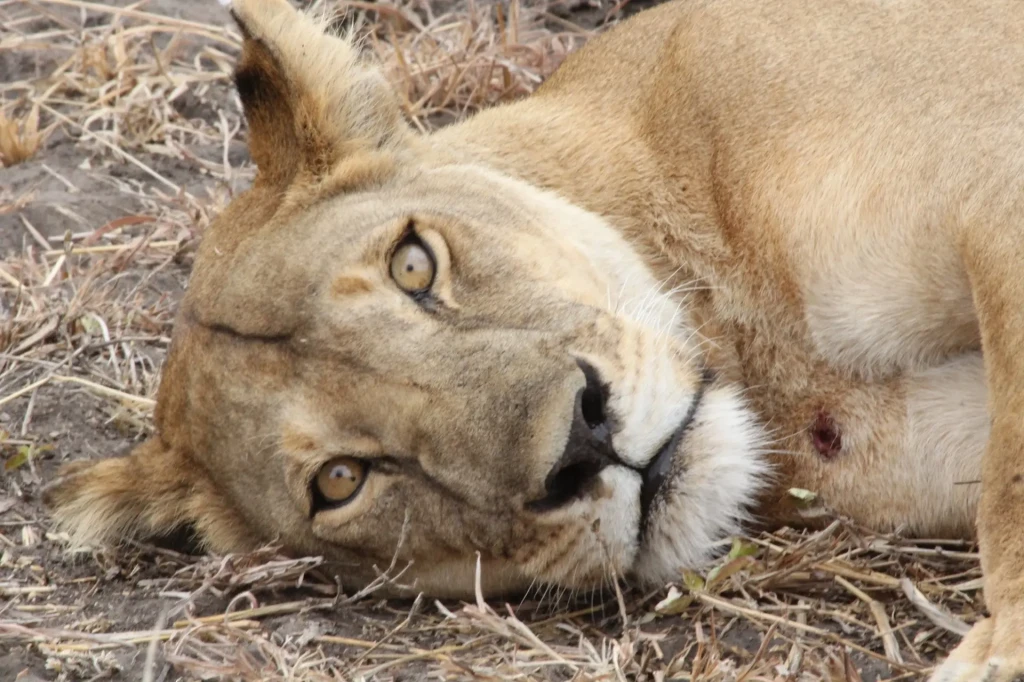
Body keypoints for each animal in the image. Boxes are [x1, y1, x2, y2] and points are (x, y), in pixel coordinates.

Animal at [42, 0, 1024, 676]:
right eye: (341, 481)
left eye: (413, 264)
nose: (581, 442)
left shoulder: (998, 184)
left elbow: (1010, 483)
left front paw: (1000, 648)